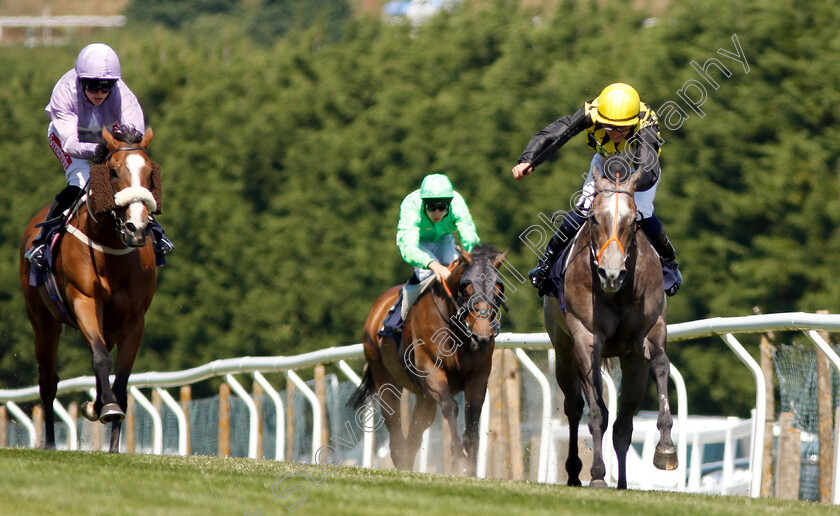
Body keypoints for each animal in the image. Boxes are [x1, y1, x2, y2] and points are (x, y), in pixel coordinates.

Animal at [19, 125, 161, 452]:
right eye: (113, 171)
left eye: (150, 173)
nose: (136, 227)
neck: (111, 248)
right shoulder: (83, 301)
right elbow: (101, 358)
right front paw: (106, 408)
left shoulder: (135, 319)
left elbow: (121, 377)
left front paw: (112, 439)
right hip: (43, 321)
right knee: (48, 380)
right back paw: (49, 442)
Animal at [348, 246, 506, 476]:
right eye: (466, 290)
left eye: (498, 290)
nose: (483, 336)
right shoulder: (431, 370)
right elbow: (451, 407)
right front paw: (458, 459)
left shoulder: (478, 376)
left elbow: (473, 413)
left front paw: (471, 465)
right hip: (384, 377)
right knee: (394, 422)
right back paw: (400, 459)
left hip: (424, 397)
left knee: (416, 429)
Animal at [540, 159, 680, 490]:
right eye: (593, 219)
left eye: (633, 222)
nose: (611, 274)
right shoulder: (585, 337)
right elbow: (595, 412)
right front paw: (597, 474)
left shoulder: (651, 329)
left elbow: (660, 366)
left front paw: (666, 449)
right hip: (563, 349)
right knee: (574, 407)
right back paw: (575, 472)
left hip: (631, 362)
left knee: (624, 422)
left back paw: (624, 481)